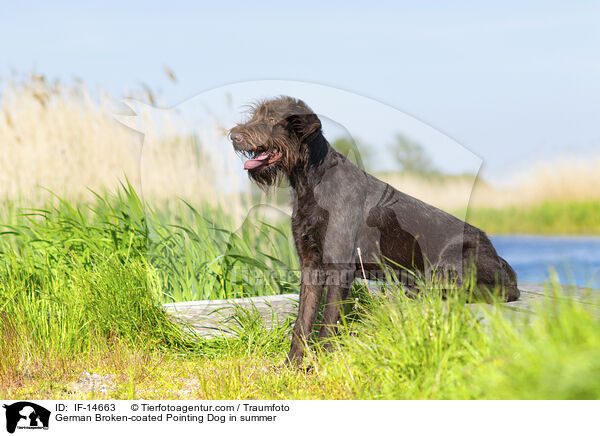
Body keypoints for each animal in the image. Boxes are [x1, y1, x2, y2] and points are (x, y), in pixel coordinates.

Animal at [227, 96, 516, 364]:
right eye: (255, 115)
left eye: (272, 119)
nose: (233, 136)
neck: (311, 183)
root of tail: (498, 257)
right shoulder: (310, 265)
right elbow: (303, 321)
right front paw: (291, 365)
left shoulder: (340, 268)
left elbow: (328, 322)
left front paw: (320, 363)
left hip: (451, 267)